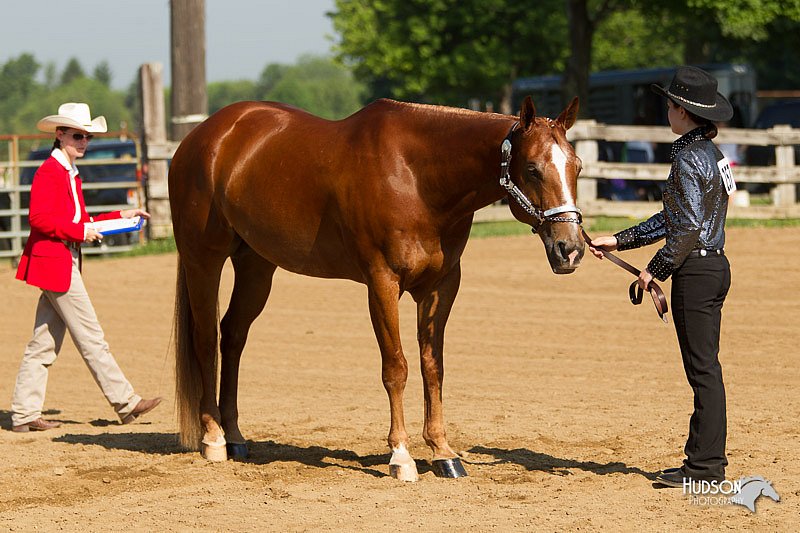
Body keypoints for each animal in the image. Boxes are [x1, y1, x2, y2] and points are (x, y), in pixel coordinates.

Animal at [169, 93, 584, 480]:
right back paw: (214, 438)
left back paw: (236, 436)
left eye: (576, 167)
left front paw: (443, 453)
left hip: (256, 266)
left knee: (233, 336)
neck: (417, 178)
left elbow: (432, 366)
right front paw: (401, 457)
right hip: (204, 259)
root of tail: (203, 137)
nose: (571, 248)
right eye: (532, 169)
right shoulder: (382, 282)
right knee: (206, 339)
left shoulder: (442, 285)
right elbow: (396, 368)